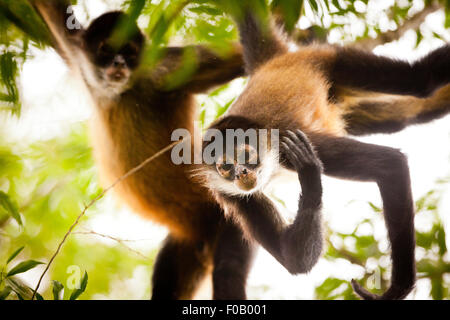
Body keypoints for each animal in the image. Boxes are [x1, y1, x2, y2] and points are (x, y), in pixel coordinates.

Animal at [199, 1, 450, 300]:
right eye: (226, 167)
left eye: (245, 156)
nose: (241, 174)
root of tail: (272, 64)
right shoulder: (229, 193)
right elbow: (294, 259)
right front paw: (310, 178)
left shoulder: (291, 142)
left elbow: (390, 164)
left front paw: (396, 290)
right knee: (408, 115)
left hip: (331, 59)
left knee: (421, 79)